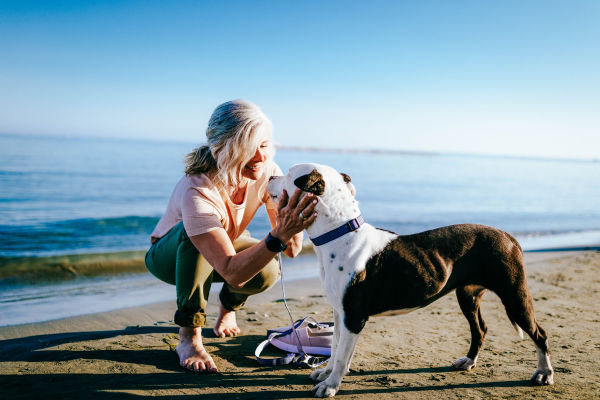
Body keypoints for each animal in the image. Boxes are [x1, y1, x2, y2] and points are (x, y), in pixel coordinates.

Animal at [268, 162, 552, 396]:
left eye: (290, 175)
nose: (270, 176)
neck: (339, 233)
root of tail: (507, 235)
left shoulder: (353, 316)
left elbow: (339, 355)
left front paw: (330, 386)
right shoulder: (340, 312)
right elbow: (337, 346)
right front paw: (327, 375)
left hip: (514, 295)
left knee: (539, 333)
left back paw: (544, 373)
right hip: (467, 296)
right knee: (479, 329)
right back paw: (469, 361)